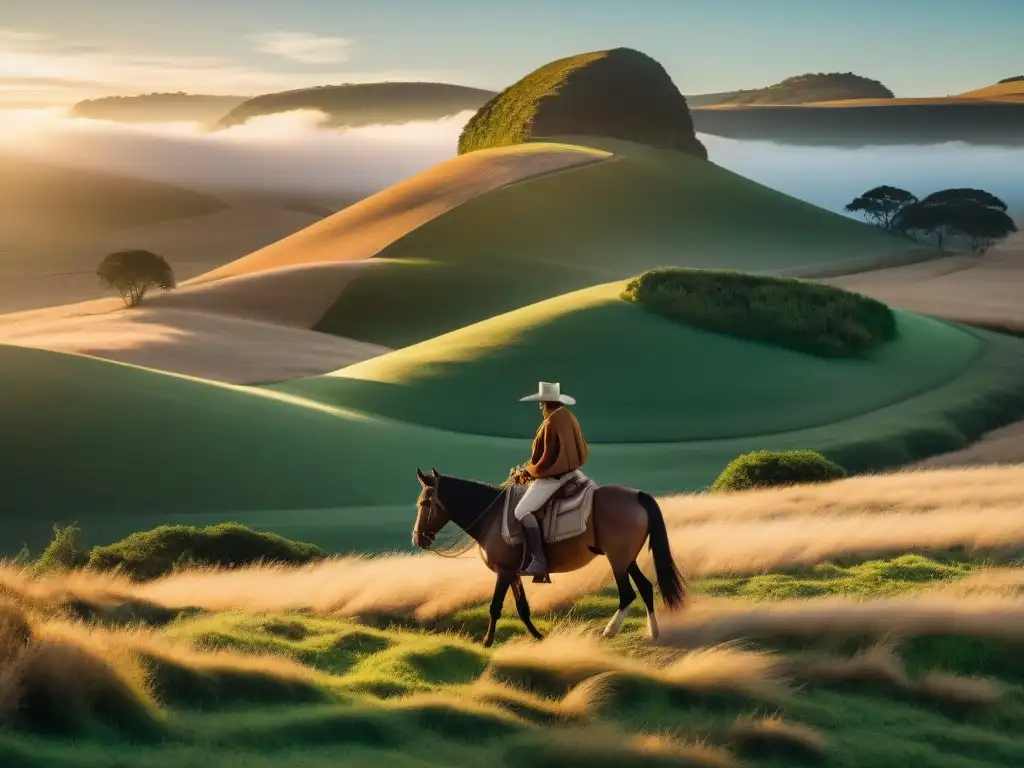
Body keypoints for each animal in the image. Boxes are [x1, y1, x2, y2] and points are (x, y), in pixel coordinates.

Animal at [409, 468, 688, 651]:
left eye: (424, 503)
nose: (419, 539)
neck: (491, 517)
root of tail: (638, 495)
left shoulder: (504, 572)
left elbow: (495, 606)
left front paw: (487, 642)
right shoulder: (513, 573)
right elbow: (522, 608)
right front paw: (538, 637)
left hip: (617, 560)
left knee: (628, 594)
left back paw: (608, 632)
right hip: (627, 559)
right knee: (645, 588)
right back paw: (653, 633)